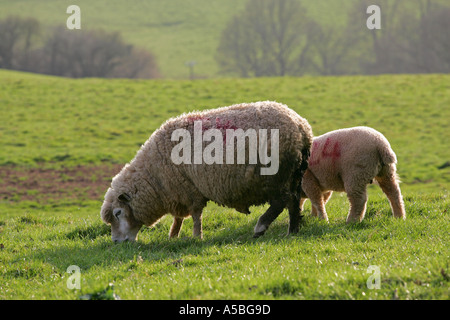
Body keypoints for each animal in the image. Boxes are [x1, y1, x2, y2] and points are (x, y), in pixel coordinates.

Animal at [100, 101, 312, 241]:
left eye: (118, 213)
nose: (116, 242)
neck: (154, 176)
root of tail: (301, 127)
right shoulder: (177, 192)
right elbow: (178, 217)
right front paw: (173, 235)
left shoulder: (188, 189)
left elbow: (195, 215)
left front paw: (196, 236)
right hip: (293, 174)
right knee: (294, 201)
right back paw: (292, 230)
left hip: (276, 176)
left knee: (281, 201)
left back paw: (261, 227)